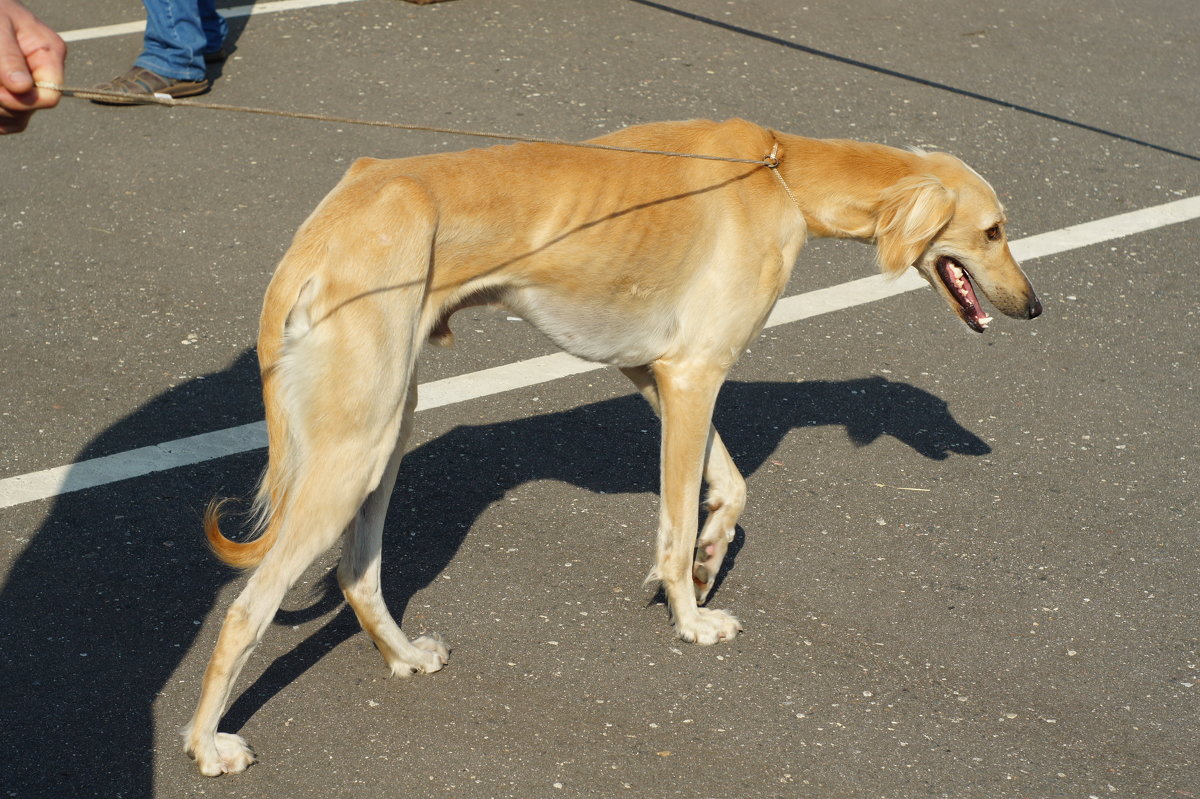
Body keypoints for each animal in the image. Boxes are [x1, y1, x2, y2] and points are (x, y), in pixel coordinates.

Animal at [182, 118, 1036, 772]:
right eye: (992, 230)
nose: (1034, 307)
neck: (782, 171)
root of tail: (328, 224)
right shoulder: (694, 375)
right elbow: (679, 517)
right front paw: (690, 616)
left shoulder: (658, 372)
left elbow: (727, 490)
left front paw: (708, 558)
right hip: (354, 445)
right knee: (249, 607)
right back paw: (206, 742)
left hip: (387, 425)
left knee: (358, 572)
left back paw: (400, 654)